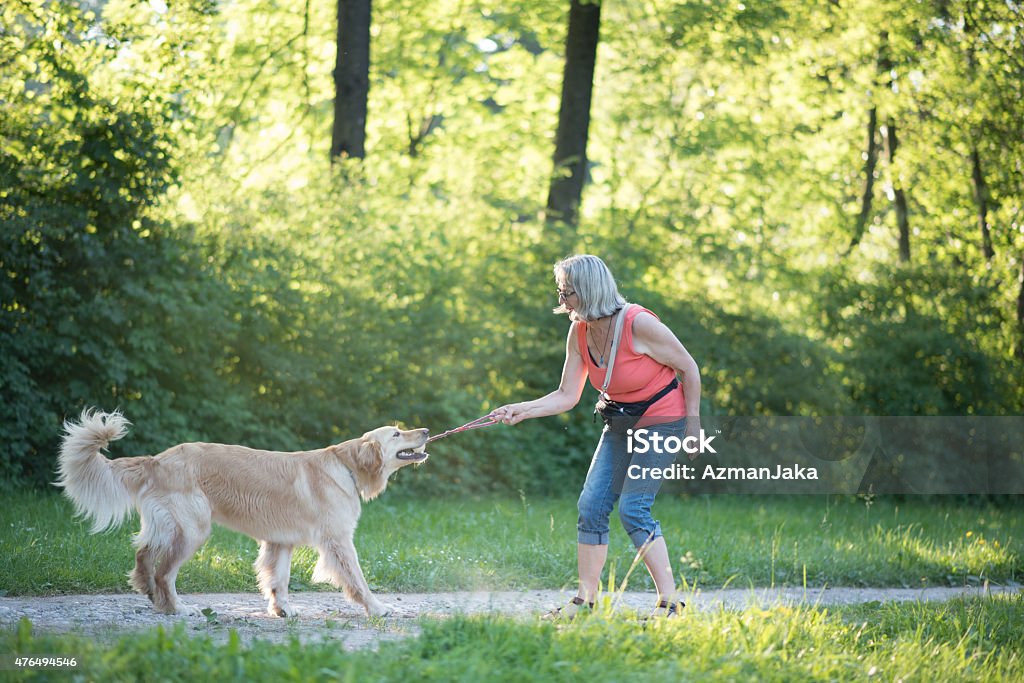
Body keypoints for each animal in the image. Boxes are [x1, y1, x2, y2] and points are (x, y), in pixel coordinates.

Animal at [56, 411, 428, 618]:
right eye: (396, 433)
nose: (425, 431)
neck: (346, 467)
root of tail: (156, 459)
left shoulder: (280, 542)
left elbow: (279, 580)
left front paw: (283, 610)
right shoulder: (338, 540)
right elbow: (358, 580)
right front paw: (378, 609)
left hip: (167, 525)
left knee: (143, 555)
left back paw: (148, 593)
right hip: (193, 530)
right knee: (164, 573)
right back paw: (176, 608)